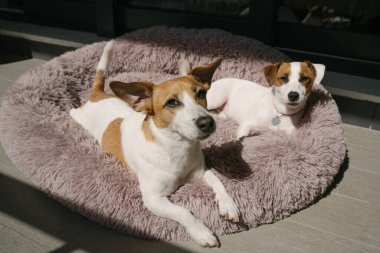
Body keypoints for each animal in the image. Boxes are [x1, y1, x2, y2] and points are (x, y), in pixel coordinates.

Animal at [70, 41, 239, 247]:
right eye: (172, 103)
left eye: (201, 93)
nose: (207, 122)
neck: (177, 148)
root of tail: (97, 95)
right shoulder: (153, 199)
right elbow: (183, 211)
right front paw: (202, 232)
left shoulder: (201, 172)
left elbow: (218, 181)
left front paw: (228, 205)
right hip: (79, 117)